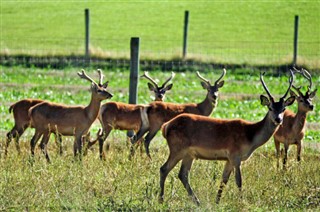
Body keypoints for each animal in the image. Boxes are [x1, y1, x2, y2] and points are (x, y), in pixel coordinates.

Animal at [159, 71, 296, 205]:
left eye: (284, 108)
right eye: (270, 107)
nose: (278, 119)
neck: (250, 137)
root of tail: (166, 126)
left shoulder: (229, 159)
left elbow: (223, 180)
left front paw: (217, 202)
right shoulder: (235, 155)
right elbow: (239, 181)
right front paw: (241, 202)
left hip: (189, 154)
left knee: (183, 174)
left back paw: (197, 202)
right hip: (177, 148)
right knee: (164, 169)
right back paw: (161, 200)